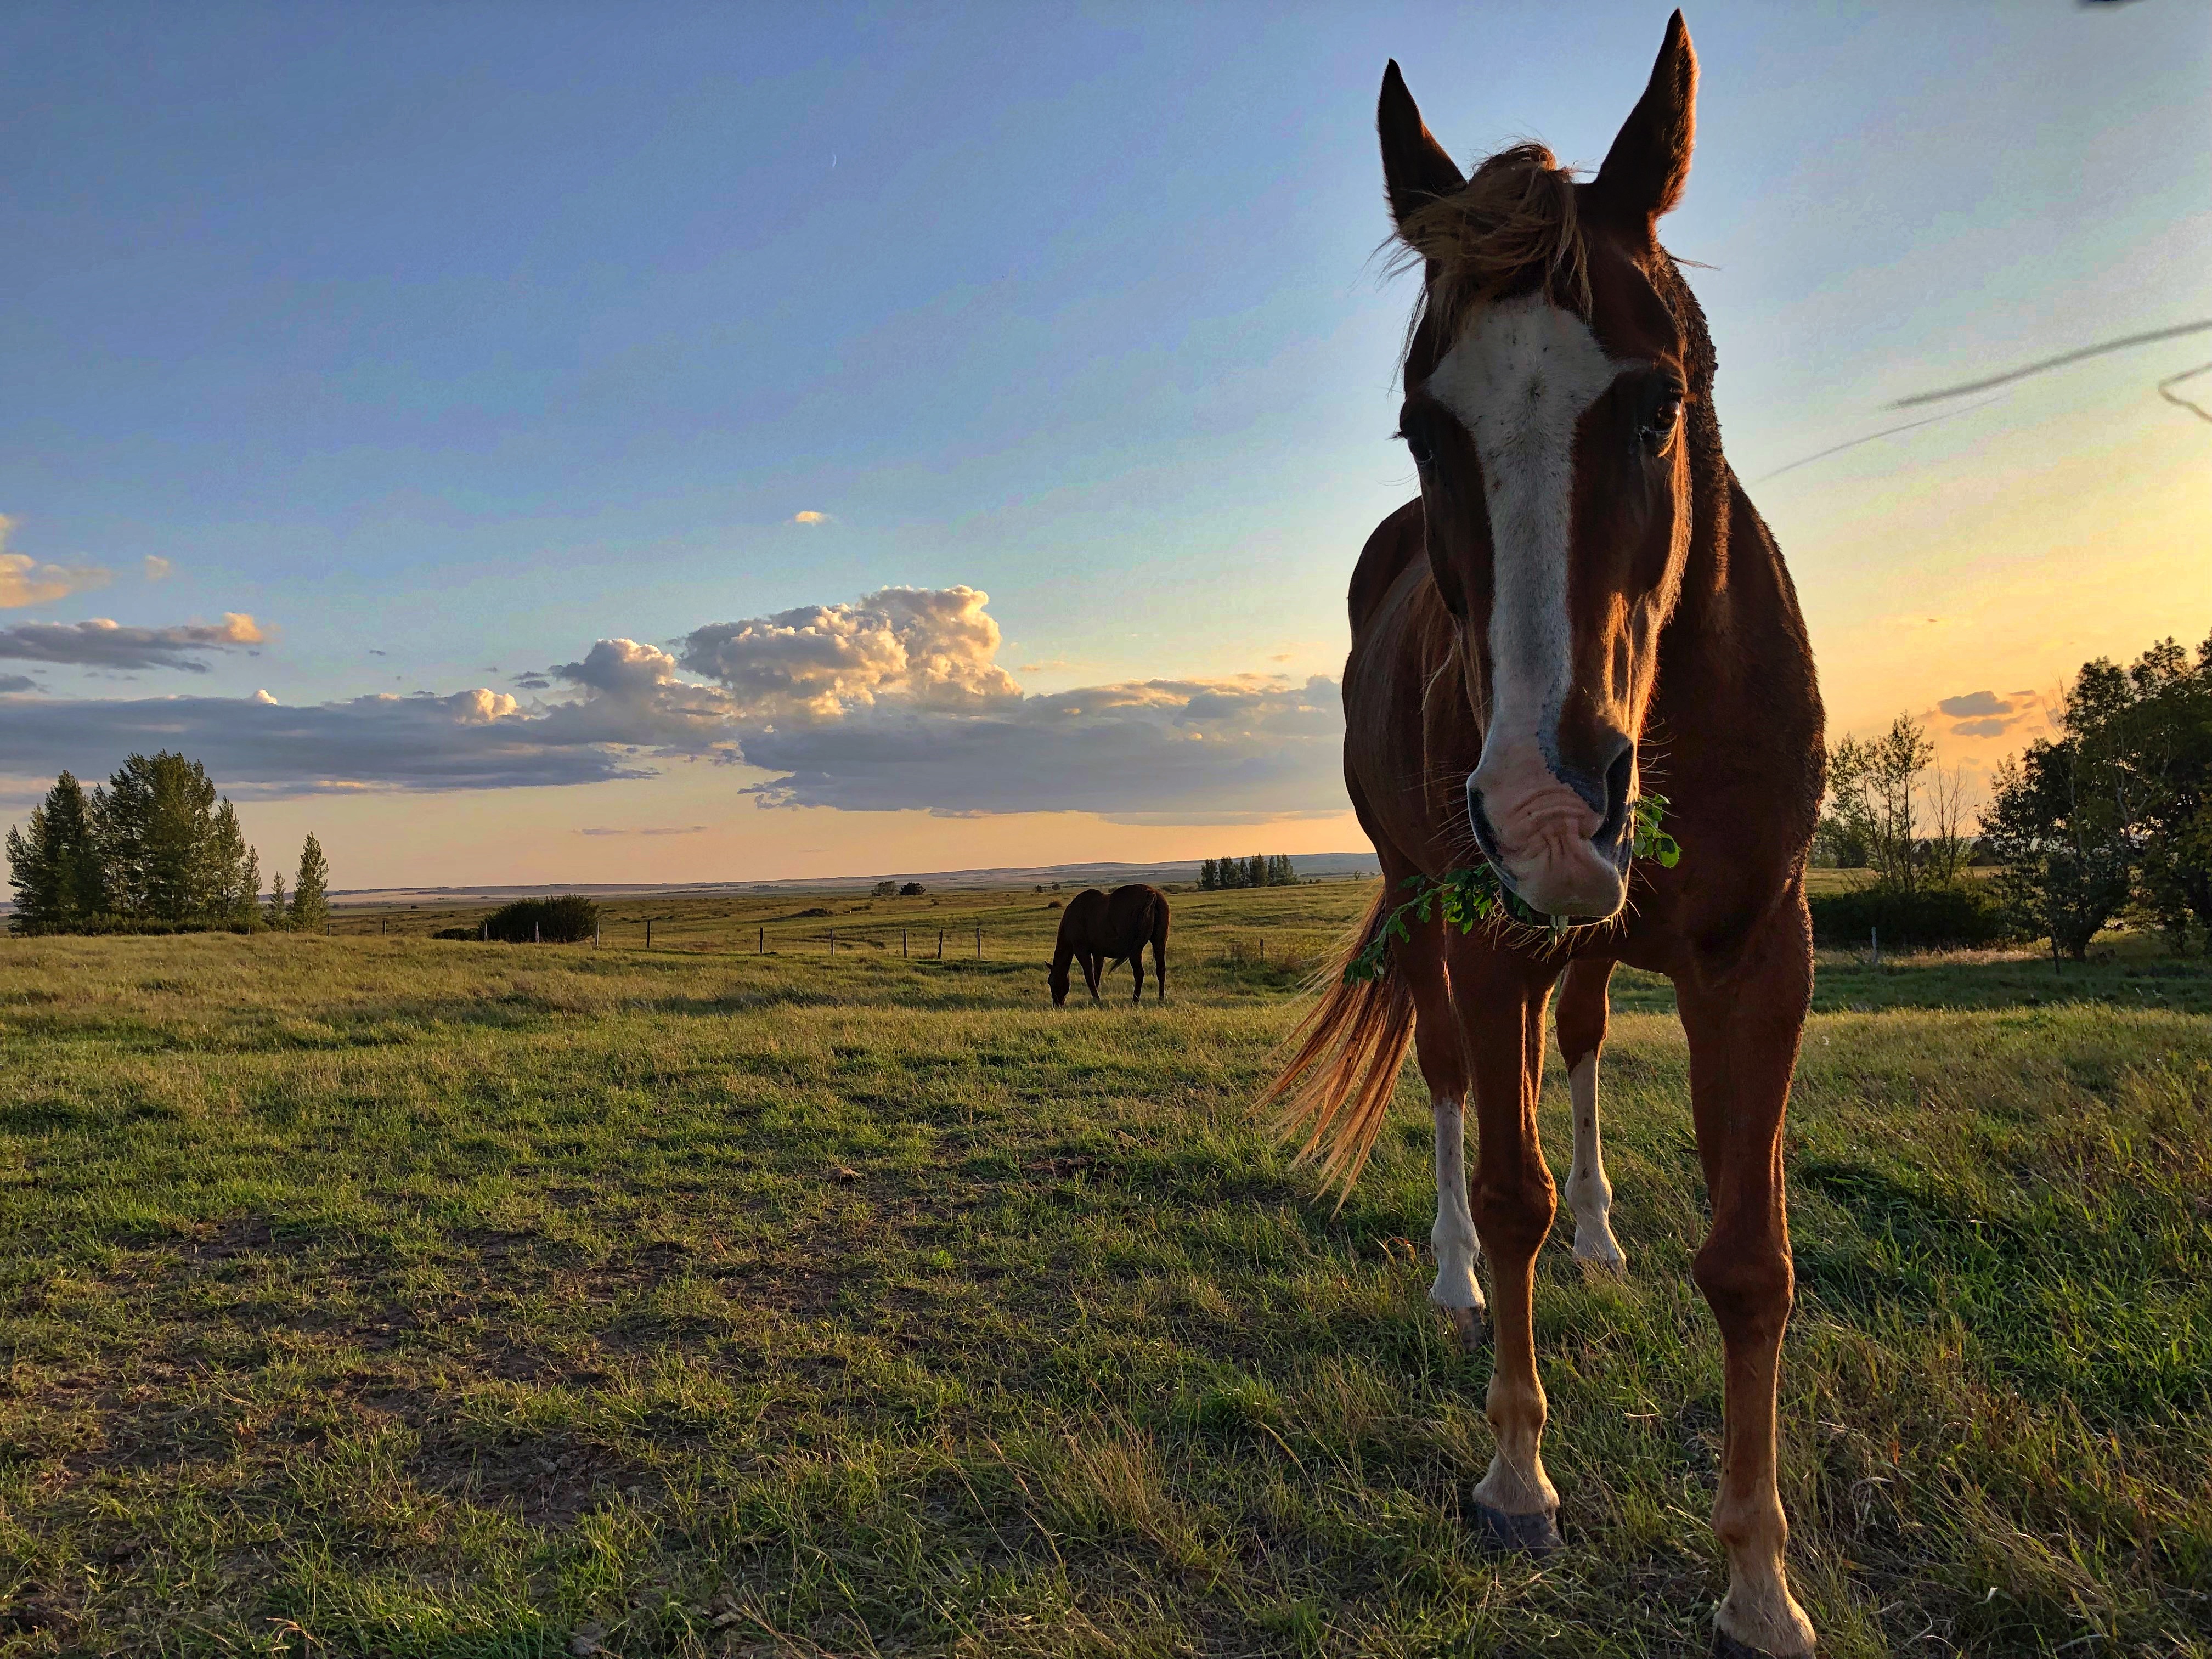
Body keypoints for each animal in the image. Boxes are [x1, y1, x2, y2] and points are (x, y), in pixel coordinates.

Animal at [1053, 889, 1177, 1008]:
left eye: (1051, 982)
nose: (1056, 1004)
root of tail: (1153, 894)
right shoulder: (1098, 953)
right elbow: (1096, 975)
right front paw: (1095, 999)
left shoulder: (1081, 952)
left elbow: (1089, 976)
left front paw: (1097, 1000)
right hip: (1159, 943)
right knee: (1161, 970)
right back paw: (1160, 1000)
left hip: (1135, 951)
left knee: (1139, 974)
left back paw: (1135, 1002)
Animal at [1274, 16, 1822, 1659]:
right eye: (1423, 428)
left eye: (1657, 402)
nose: (1538, 804)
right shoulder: (1487, 930)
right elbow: (1503, 1175)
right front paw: (1517, 1477)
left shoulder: (1760, 952)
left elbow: (1752, 1263)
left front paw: (1758, 1580)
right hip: (1439, 911)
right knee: (1462, 1090)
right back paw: (1458, 1277)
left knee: (1576, 1057)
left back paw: (1600, 1236)